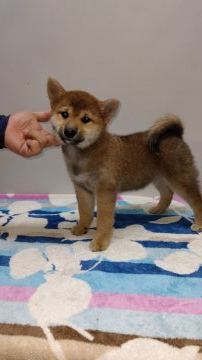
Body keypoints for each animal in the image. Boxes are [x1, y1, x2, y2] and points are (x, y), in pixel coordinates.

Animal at [47, 77, 202, 250]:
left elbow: (104, 220)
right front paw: (81, 228)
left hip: (181, 178)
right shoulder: (82, 189)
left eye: (86, 119)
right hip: (158, 178)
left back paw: (199, 223)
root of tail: (175, 135)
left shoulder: (105, 191)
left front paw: (100, 241)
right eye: (64, 114)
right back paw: (158, 209)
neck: (83, 152)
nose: (69, 131)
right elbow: (84, 213)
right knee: (167, 194)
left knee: (196, 200)